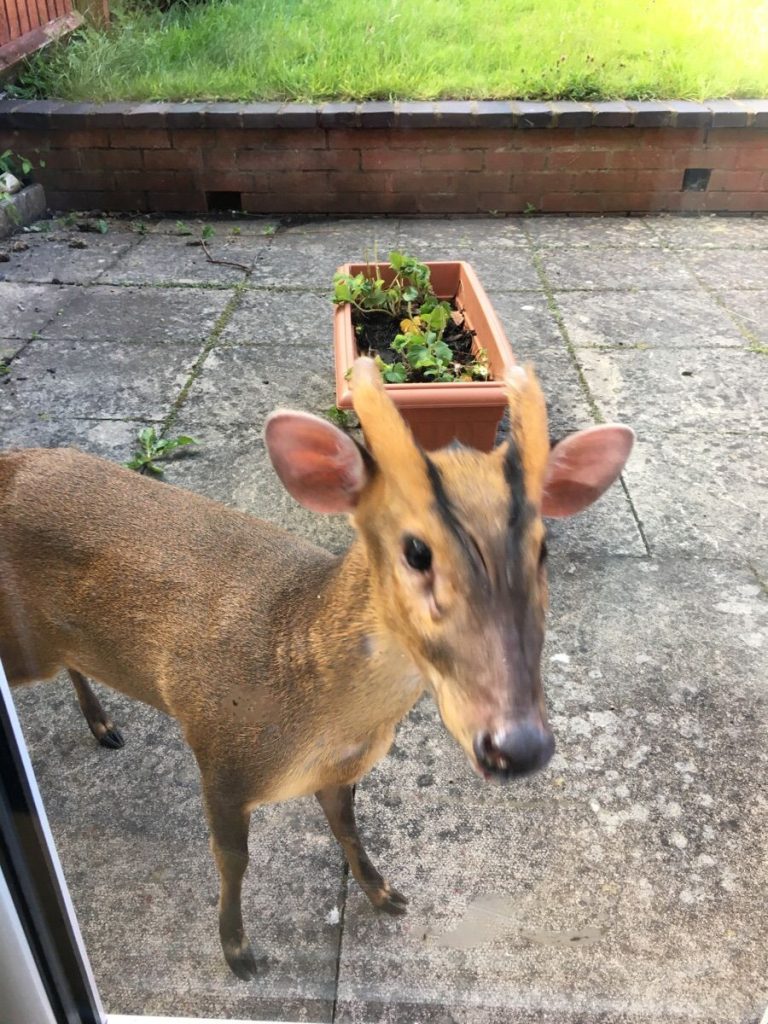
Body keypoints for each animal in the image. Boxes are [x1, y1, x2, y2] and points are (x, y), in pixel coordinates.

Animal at [3, 358, 634, 974]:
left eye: (543, 549)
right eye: (417, 550)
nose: (518, 745)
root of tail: (14, 462)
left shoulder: (339, 772)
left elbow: (347, 828)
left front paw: (384, 893)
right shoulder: (220, 758)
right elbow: (232, 859)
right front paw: (238, 953)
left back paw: (105, 727)